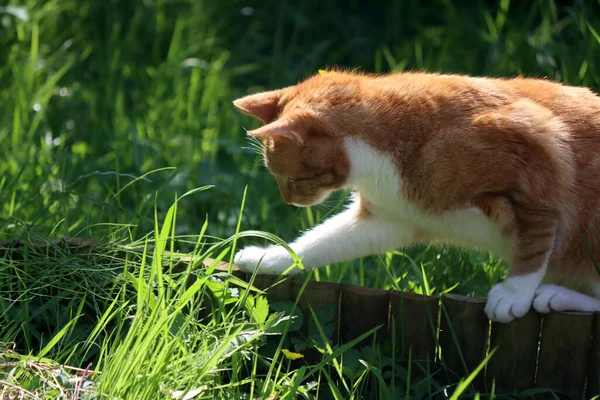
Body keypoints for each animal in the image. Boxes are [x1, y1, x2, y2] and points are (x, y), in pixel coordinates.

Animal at [232, 71, 600, 322]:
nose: (288, 201)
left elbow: (534, 243)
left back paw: (553, 295)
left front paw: (514, 293)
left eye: (291, 178)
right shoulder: (388, 219)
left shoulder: (539, 166)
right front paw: (266, 257)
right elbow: (315, 245)